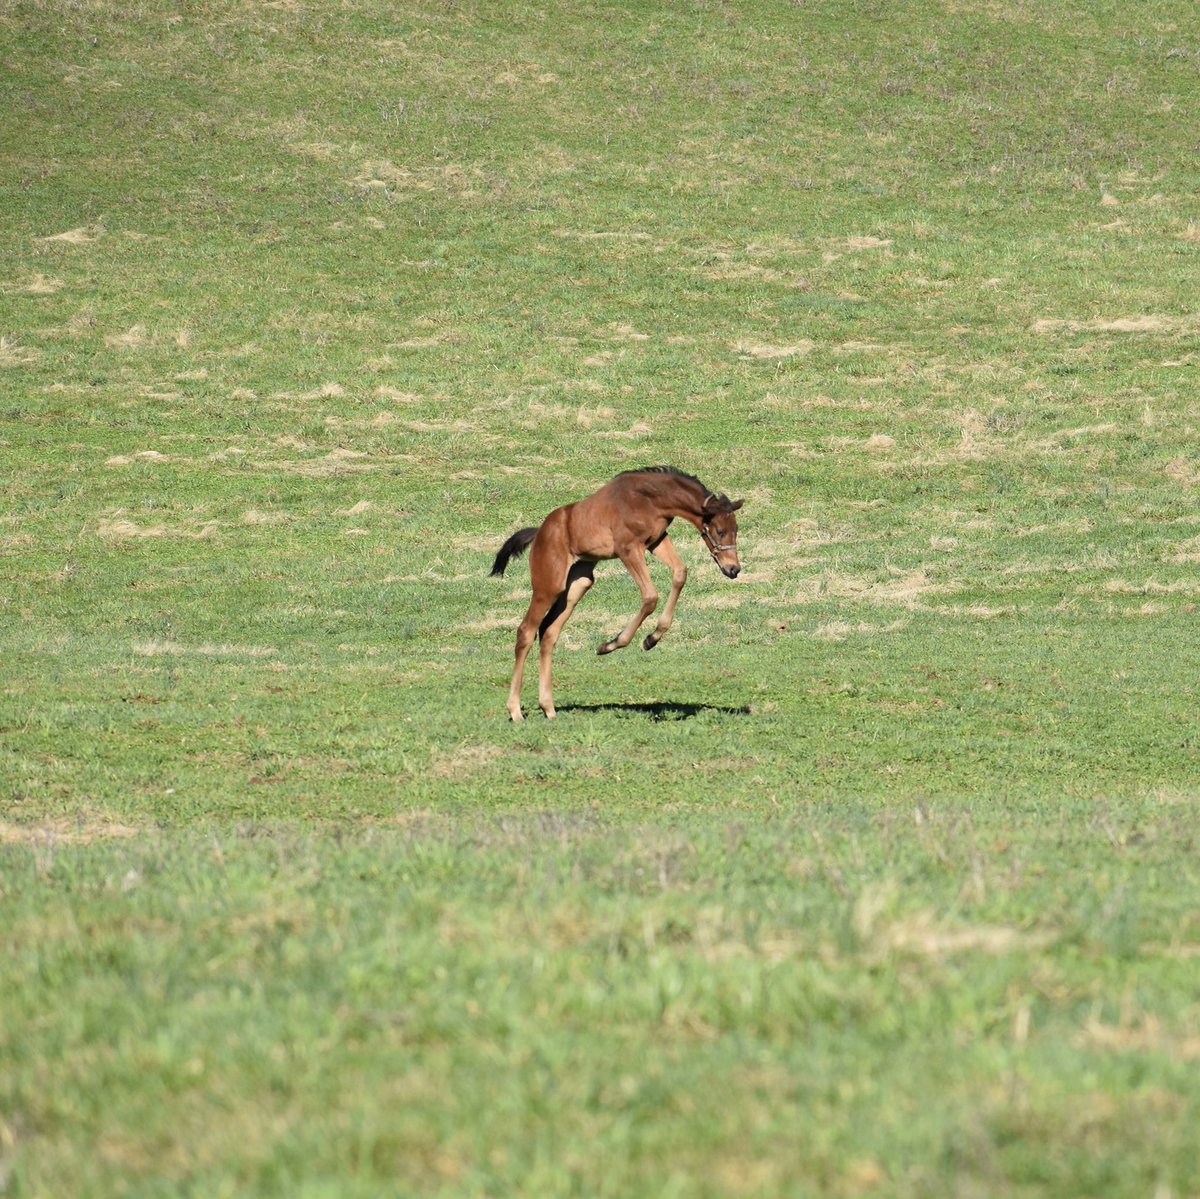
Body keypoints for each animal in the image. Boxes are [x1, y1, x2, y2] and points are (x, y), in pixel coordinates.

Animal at [487, 468, 739, 720]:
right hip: (548, 585)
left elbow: (680, 573)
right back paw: (515, 711)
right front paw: (612, 644)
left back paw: (548, 708)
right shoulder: (628, 548)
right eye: (719, 531)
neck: (650, 499)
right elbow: (650, 596)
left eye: (736, 531)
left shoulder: (656, 540)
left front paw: (651, 639)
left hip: (578, 584)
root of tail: (540, 532)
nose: (733, 569)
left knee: (548, 632)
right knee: (526, 631)